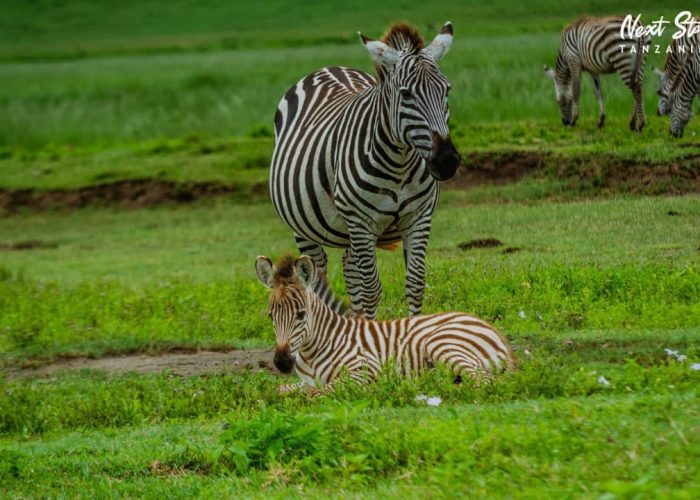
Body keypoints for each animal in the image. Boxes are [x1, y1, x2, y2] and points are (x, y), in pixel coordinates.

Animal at [253, 254, 516, 390]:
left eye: (300, 314)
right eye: (271, 316)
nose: (282, 363)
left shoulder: (364, 369)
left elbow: (321, 391)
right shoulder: (304, 381)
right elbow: (281, 390)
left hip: (442, 343)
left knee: (486, 381)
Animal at [268, 21, 460, 318]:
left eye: (447, 90)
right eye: (406, 94)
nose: (447, 160)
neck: (399, 165)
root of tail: (329, 68)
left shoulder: (419, 217)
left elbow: (415, 284)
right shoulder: (361, 222)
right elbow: (372, 291)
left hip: (348, 232)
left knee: (350, 273)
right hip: (305, 227)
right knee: (317, 281)